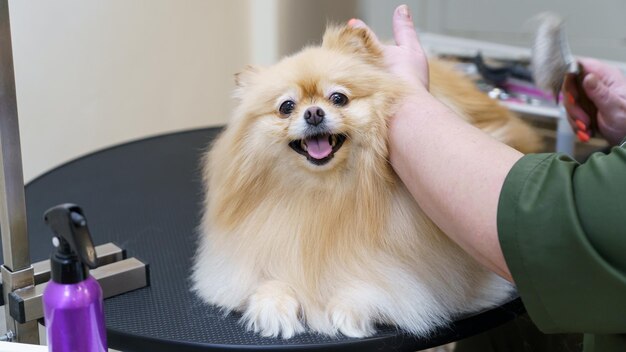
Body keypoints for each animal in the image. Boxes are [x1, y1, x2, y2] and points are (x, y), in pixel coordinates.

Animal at [191, 24, 540, 338]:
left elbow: (387, 286)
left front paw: (349, 306)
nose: (314, 113)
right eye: (286, 106)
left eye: (338, 98)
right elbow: (262, 279)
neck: (328, 192)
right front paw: (273, 306)